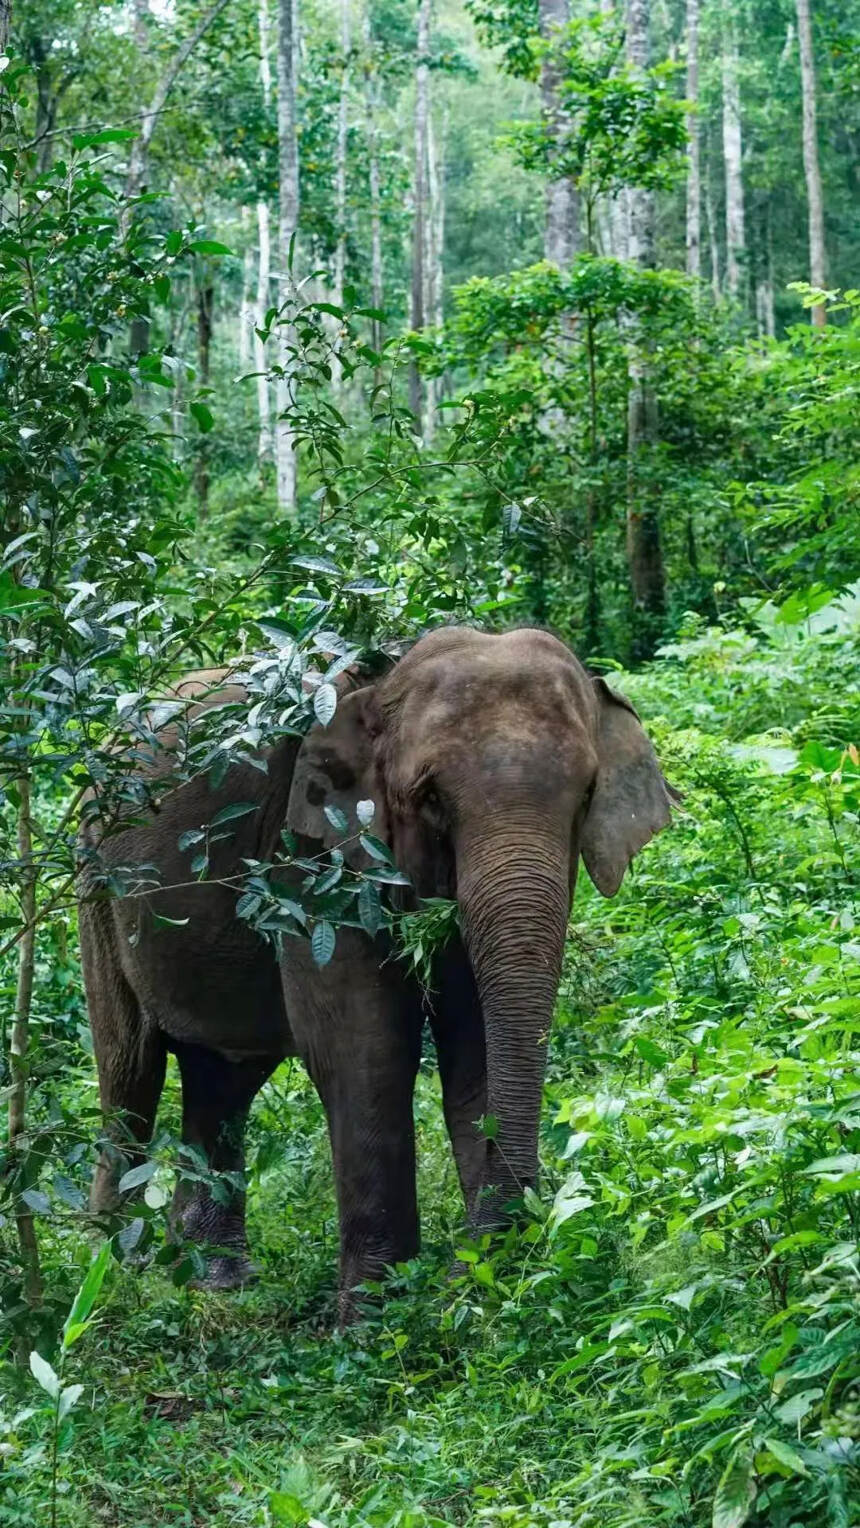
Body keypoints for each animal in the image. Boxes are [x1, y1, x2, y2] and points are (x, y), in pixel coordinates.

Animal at [77, 620, 675, 1314]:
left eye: (585, 797)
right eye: (430, 798)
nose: (469, 1266)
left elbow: (472, 1038)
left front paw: (471, 1294)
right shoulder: (313, 853)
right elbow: (363, 1043)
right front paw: (373, 1317)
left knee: (224, 1076)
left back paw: (213, 1279)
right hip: (95, 879)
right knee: (129, 1068)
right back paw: (110, 1274)